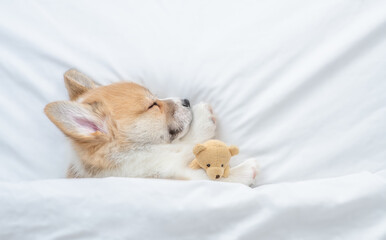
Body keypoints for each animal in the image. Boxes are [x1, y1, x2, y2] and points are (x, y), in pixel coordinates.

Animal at [43, 69, 258, 186]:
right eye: (152, 105)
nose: (186, 100)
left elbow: (183, 145)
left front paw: (203, 119)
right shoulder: (165, 174)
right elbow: (204, 176)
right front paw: (246, 171)